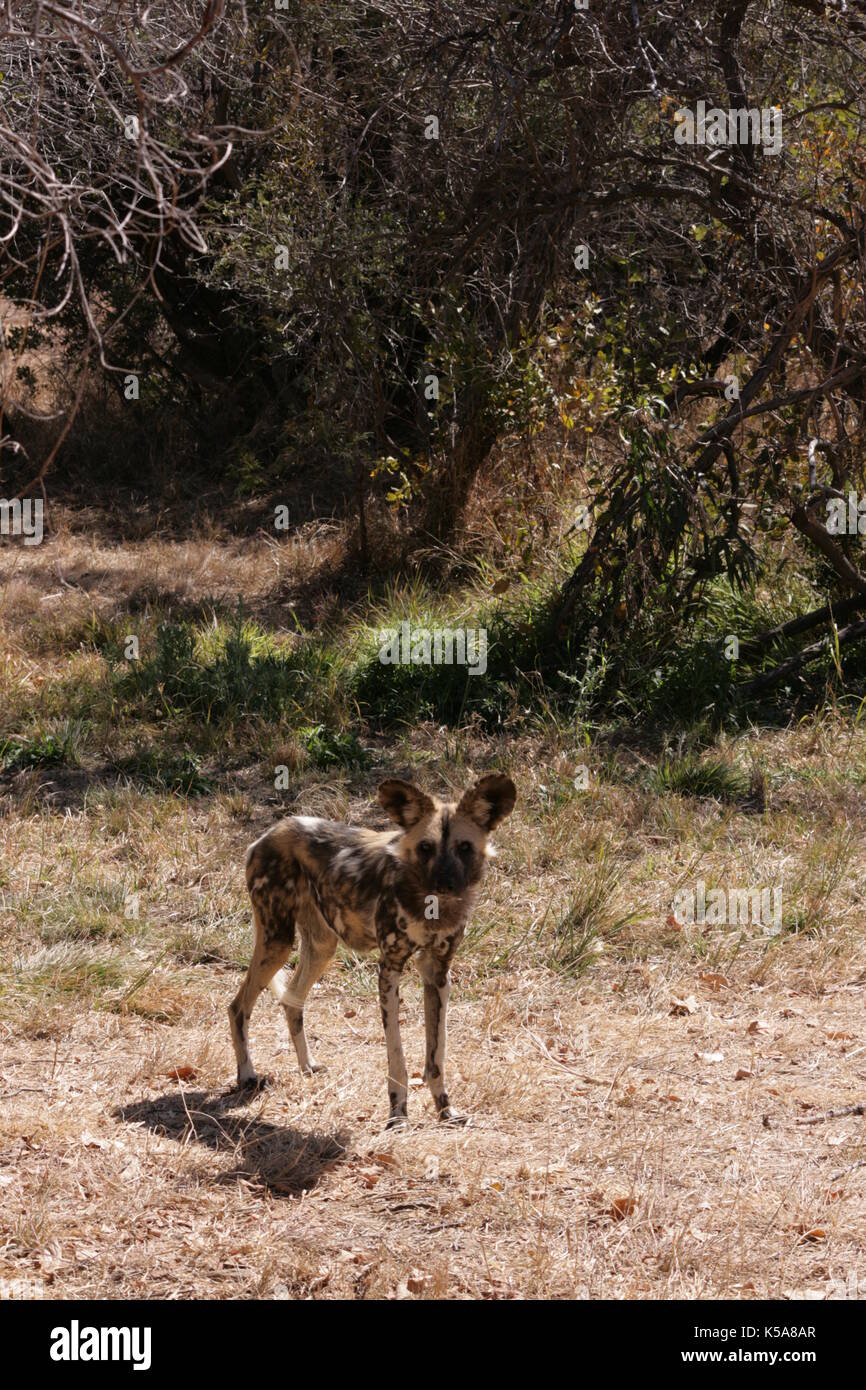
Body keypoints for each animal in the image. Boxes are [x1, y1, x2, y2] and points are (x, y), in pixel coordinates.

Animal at [226, 772, 517, 1128]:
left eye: (464, 847)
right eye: (426, 848)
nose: (444, 884)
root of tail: (269, 832)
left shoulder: (437, 973)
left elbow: (436, 1057)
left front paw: (445, 1110)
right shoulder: (389, 968)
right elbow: (397, 1058)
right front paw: (398, 1115)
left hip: (321, 947)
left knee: (292, 1000)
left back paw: (307, 1066)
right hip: (276, 941)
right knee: (238, 1007)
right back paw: (247, 1075)